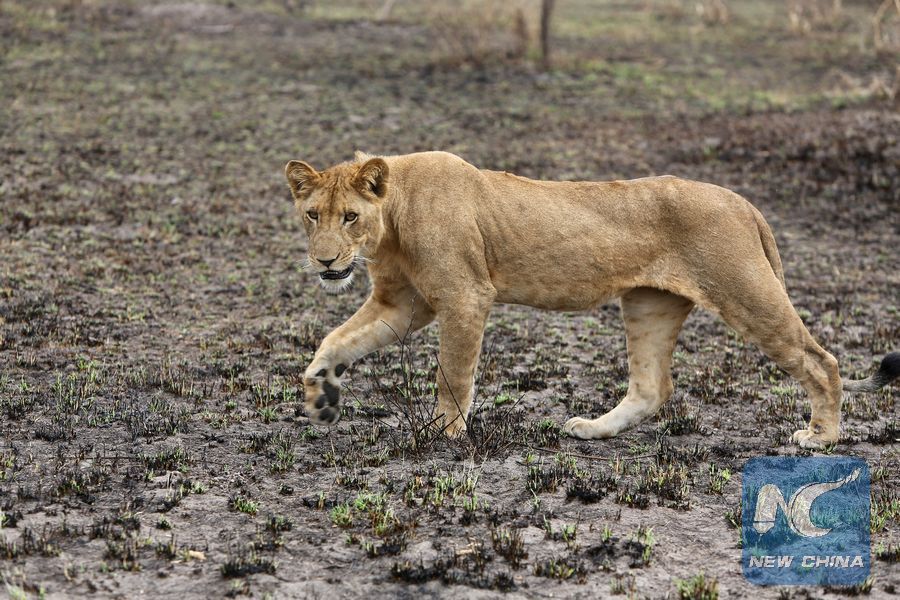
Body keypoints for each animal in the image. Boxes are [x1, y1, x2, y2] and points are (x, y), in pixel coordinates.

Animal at [284, 150, 898, 449]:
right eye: (312, 215)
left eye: (350, 217)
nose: (326, 263)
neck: (391, 220)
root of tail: (743, 201)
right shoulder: (402, 304)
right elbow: (335, 340)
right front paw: (321, 394)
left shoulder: (464, 298)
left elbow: (453, 374)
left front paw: (444, 433)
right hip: (649, 304)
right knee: (652, 388)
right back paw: (592, 429)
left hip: (746, 293)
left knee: (821, 360)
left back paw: (821, 436)